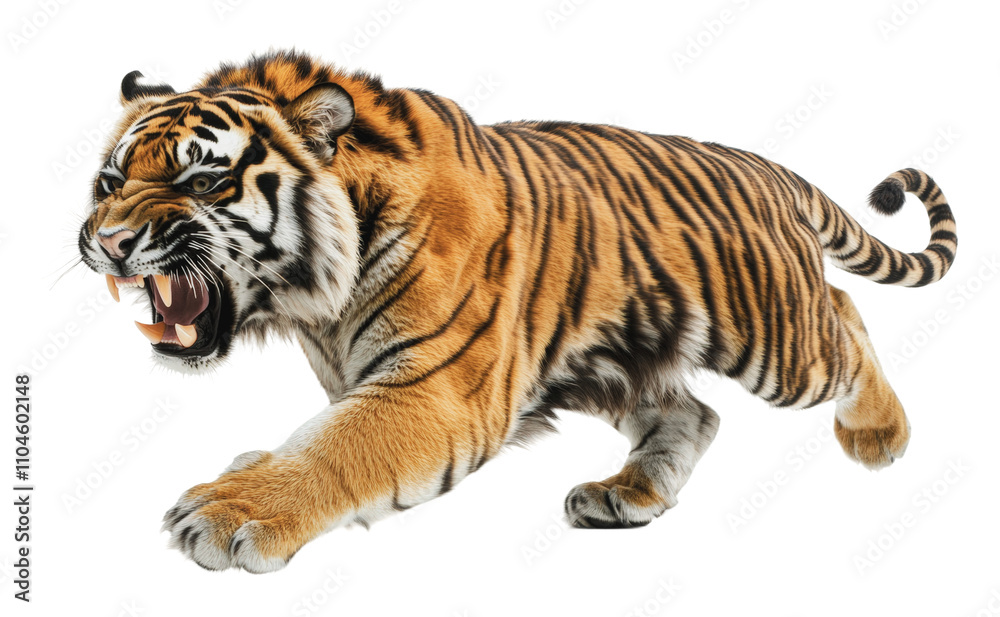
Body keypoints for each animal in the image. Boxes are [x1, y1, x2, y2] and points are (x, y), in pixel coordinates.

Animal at [77, 49, 957, 572]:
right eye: (110, 181)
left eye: (202, 180)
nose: (109, 243)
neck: (313, 302)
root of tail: (769, 166)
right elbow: (318, 436)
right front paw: (247, 473)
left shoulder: (429, 390)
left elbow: (337, 448)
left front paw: (232, 508)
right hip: (618, 357)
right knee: (697, 411)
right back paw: (628, 494)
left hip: (779, 341)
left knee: (843, 314)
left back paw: (879, 433)